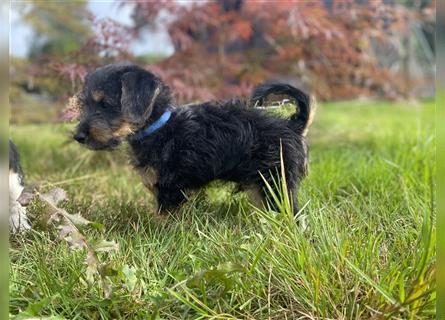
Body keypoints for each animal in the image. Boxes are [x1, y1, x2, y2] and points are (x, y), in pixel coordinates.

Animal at [72, 63, 312, 214]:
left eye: (105, 104)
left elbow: (164, 217)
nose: (78, 136)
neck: (159, 127)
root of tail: (292, 125)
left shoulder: (169, 189)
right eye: (84, 105)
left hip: (275, 180)